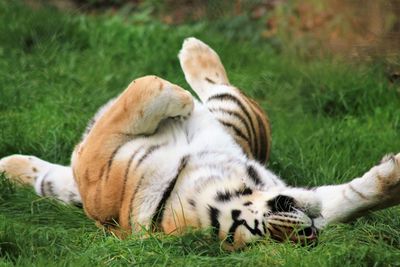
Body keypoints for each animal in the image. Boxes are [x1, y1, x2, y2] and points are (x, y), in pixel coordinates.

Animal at [0, 37, 400, 251]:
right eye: (260, 235)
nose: (309, 234)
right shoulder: (96, 171)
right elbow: (145, 92)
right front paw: (177, 98)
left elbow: (350, 197)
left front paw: (391, 180)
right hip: (236, 113)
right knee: (217, 86)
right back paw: (194, 51)